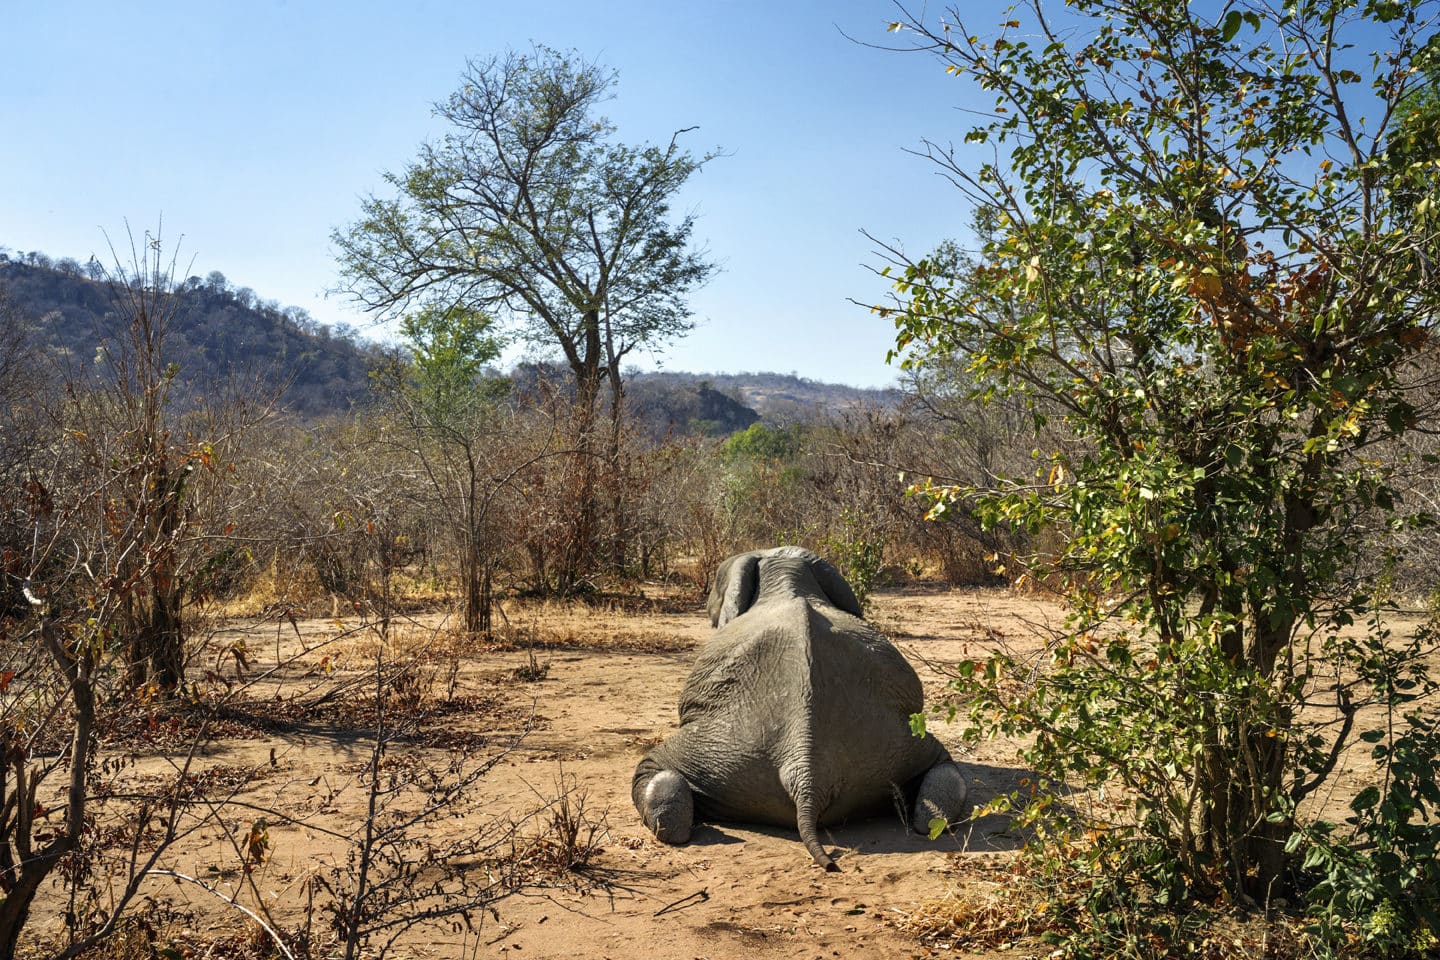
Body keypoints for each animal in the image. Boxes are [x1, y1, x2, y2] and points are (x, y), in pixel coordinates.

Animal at [630, 546, 967, 869]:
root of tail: (805, 768)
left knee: (654, 765)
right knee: (941, 769)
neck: (785, 575)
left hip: (719, 742)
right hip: (891, 741)